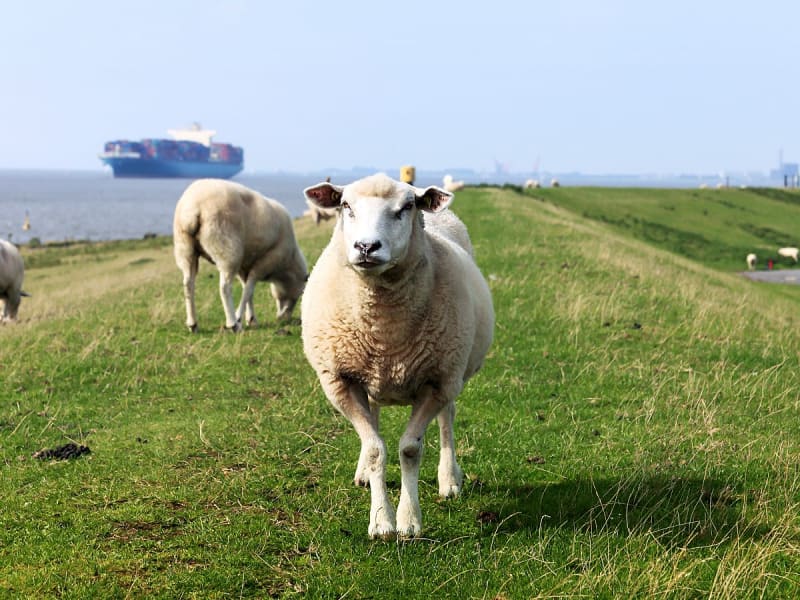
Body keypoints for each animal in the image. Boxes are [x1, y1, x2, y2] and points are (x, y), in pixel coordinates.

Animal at [173, 179, 308, 332]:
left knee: (188, 283)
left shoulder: (245, 265)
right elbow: (248, 290)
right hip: (227, 250)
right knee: (224, 288)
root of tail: (193, 208)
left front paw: (251, 319)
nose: (283, 319)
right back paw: (232, 323)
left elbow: (247, 290)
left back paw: (193, 324)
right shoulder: (265, 262)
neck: (286, 265)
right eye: (300, 295)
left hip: (185, 249)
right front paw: (239, 317)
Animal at [301, 173, 495, 539]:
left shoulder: (437, 381)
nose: (366, 247)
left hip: (453, 370)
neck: (384, 330)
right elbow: (377, 449)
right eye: (345, 205)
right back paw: (364, 472)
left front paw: (409, 520)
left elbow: (410, 448)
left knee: (448, 417)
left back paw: (449, 479)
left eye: (406, 207)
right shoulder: (340, 381)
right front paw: (381, 521)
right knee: (373, 421)